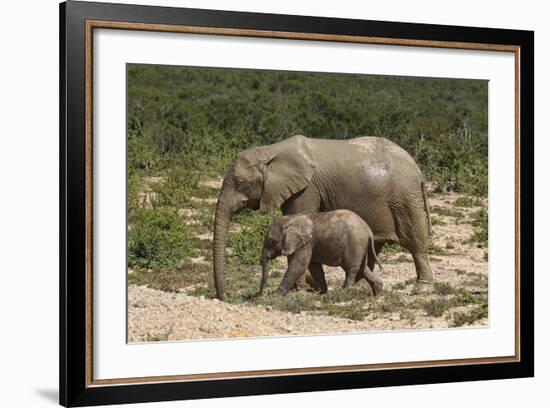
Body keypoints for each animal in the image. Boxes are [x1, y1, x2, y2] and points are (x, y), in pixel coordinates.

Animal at [213, 135, 434, 300]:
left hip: (405, 198)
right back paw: (361, 288)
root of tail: (418, 170)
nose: (225, 297)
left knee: (416, 241)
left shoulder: (307, 188)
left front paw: (300, 290)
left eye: (240, 183)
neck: (271, 151)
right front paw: (311, 286)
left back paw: (421, 289)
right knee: (375, 247)